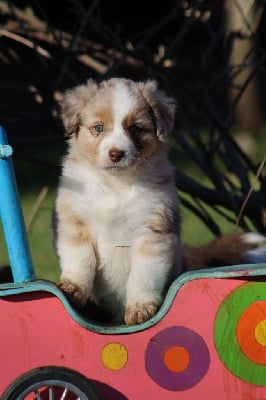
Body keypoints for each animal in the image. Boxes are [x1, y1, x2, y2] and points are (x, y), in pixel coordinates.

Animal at [53, 77, 264, 324]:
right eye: (98, 127)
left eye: (135, 128)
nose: (116, 153)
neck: (116, 184)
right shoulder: (75, 222)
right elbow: (80, 260)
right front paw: (72, 290)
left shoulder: (154, 230)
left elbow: (142, 275)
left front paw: (140, 309)